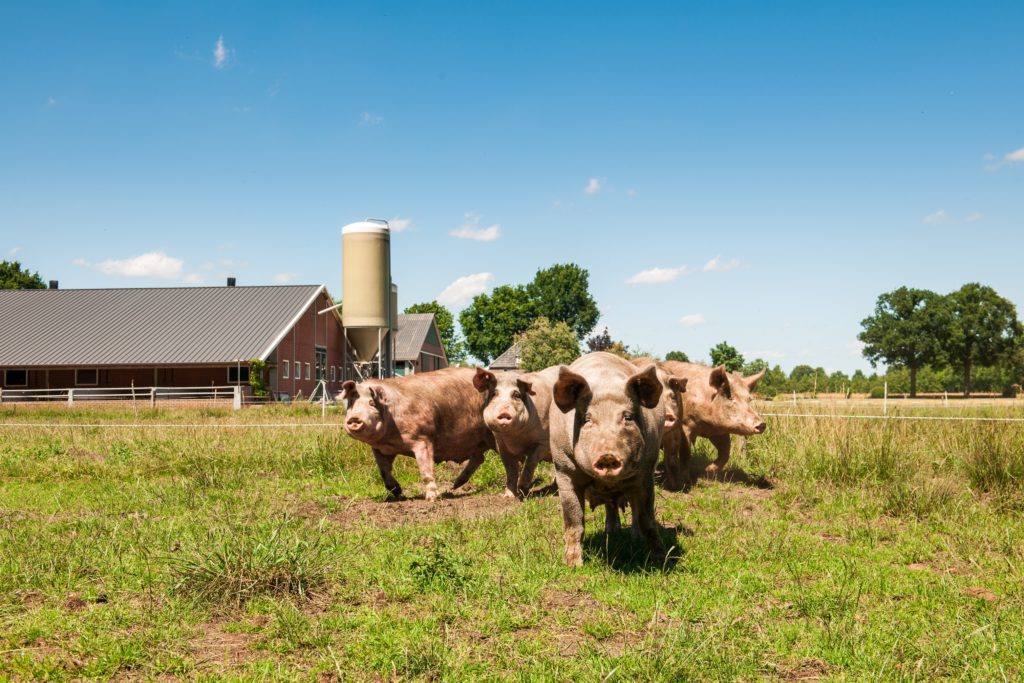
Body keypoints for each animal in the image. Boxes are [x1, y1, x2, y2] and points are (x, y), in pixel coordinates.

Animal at [339, 368, 495, 501]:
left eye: (371, 403)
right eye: (351, 404)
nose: (354, 419)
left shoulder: (422, 439)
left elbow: (425, 469)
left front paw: (431, 499)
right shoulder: (381, 449)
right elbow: (384, 472)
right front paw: (398, 493)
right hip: (477, 442)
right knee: (479, 458)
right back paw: (455, 486)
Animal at [473, 366, 561, 499]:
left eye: (516, 395)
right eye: (494, 393)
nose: (504, 413)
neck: (515, 437)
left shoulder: (544, 442)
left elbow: (530, 462)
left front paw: (522, 490)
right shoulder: (501, 444)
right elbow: (511, 469)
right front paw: (509, 496)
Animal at [548, 352, 667, 565]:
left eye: (628, 417)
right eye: (587, 419)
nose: (607, 455)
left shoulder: (646, 472)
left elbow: (647, 520)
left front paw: (660, 561)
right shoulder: (563, 469)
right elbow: (573, 521)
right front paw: (573, 565)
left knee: (632, 513)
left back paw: (633, 538)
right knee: (611, 507)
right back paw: (611, 533)